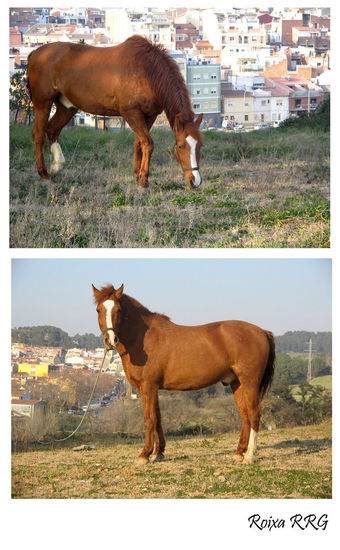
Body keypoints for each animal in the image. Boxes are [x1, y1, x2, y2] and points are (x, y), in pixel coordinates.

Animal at [27, 35, 202, 190]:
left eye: (200, 145)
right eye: (180, 146)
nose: (195, 181)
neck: (146, 70)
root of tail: (34, 53)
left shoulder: (150, 115)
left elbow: (139, 142)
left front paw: (137, 175)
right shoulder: (131, 112)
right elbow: (147, 143)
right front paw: (144, 179)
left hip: (67, 107)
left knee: (52, 130)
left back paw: (56, 166)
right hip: (43, 102)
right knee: (39, 134)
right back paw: (43, 174)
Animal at [93, 284, 276, 466]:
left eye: (118, 310)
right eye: (98, 309)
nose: (111, 340)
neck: (143, 339)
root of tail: (262, 331)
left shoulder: (148, 387)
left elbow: (149, 419)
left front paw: (144, 455)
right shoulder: (154, 388)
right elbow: (158, 418)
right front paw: (158, 453)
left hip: (250, 383)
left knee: (254, 413)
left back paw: (249, 455)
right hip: (236, 384)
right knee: (245, 415)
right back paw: (238, 453)